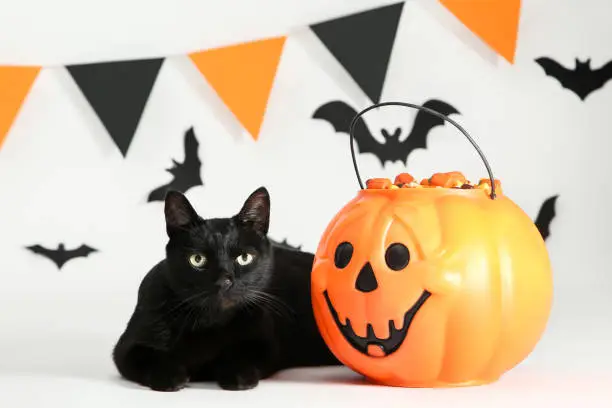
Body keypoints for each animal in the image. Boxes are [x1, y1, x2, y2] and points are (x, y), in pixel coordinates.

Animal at [113, 188, 342, 392]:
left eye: (244, 257)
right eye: (197, 259)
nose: (224, 281)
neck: (209, 322)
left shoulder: (265, 342)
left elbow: (242, 354)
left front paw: (237, 375)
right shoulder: (126, 347)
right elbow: (148, 356)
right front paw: (169, 375)